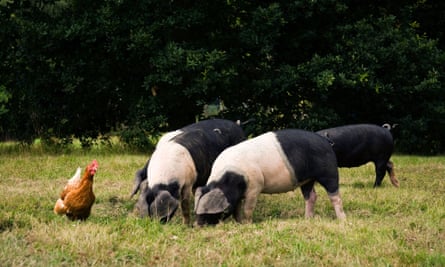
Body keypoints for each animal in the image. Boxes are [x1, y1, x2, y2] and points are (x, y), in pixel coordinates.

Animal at [194, 130, 346, 226]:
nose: (197, 225)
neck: (232, 176)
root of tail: (325, 141)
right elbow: (236, 209)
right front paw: (239, 223)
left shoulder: (255, 186)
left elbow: (248, 208)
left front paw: (247, 223)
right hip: (307, 179)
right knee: (311, 196)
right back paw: (307, 219)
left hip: (328, 171)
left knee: (335, 195)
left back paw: (342, 219)